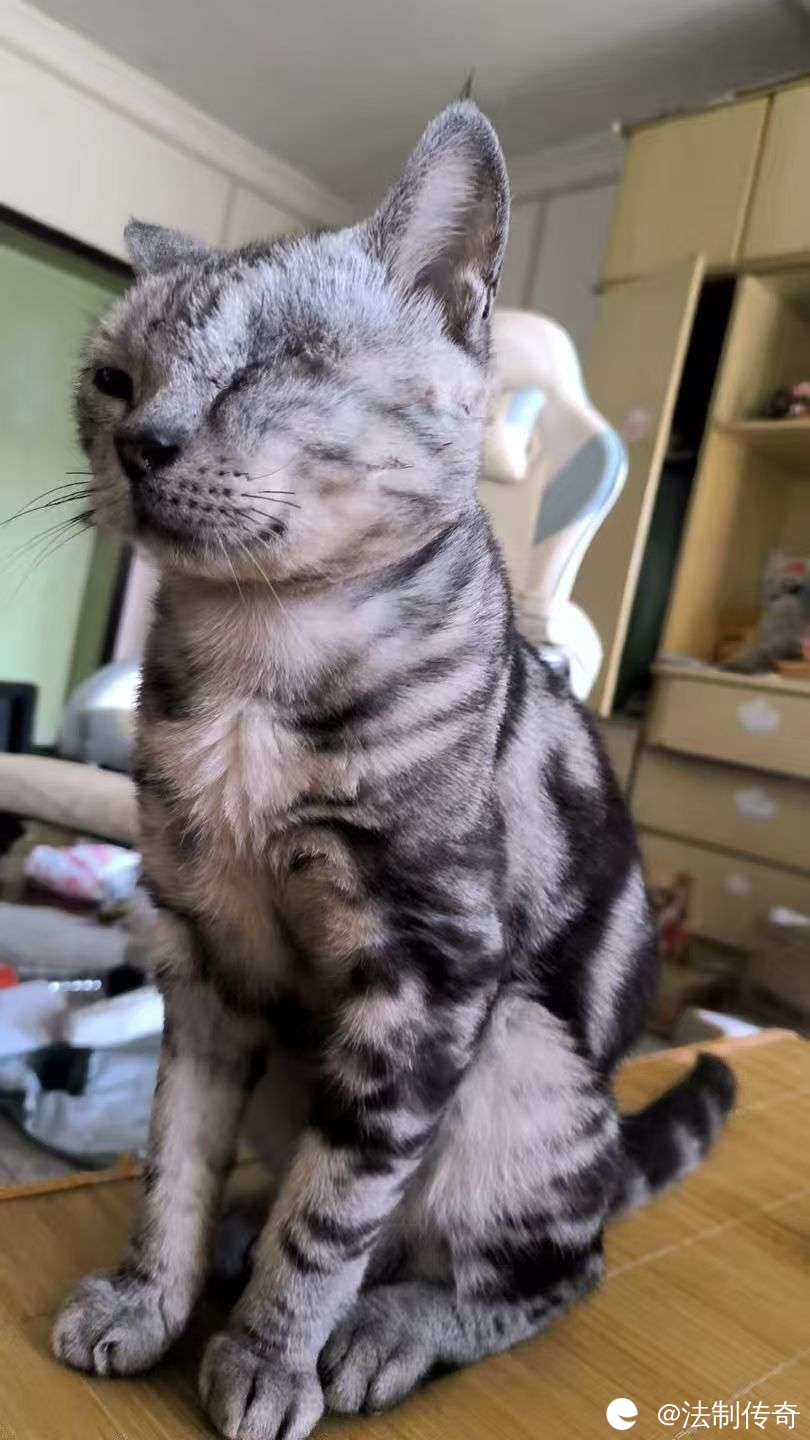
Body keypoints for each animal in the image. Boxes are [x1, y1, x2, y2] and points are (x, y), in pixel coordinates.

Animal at [52, 102, 736, 1440]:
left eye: (273, 366)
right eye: (112, 380)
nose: (140, 440)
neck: (254, 665)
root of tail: (611, 1149)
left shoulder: (425, 976)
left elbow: (335, 1212)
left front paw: (274, 1356)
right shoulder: (202, 959)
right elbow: (175, 1157)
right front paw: (151, 1297)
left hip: (518, 1061)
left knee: (549, 1267)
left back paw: (389, 1328)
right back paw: (241, 1241)